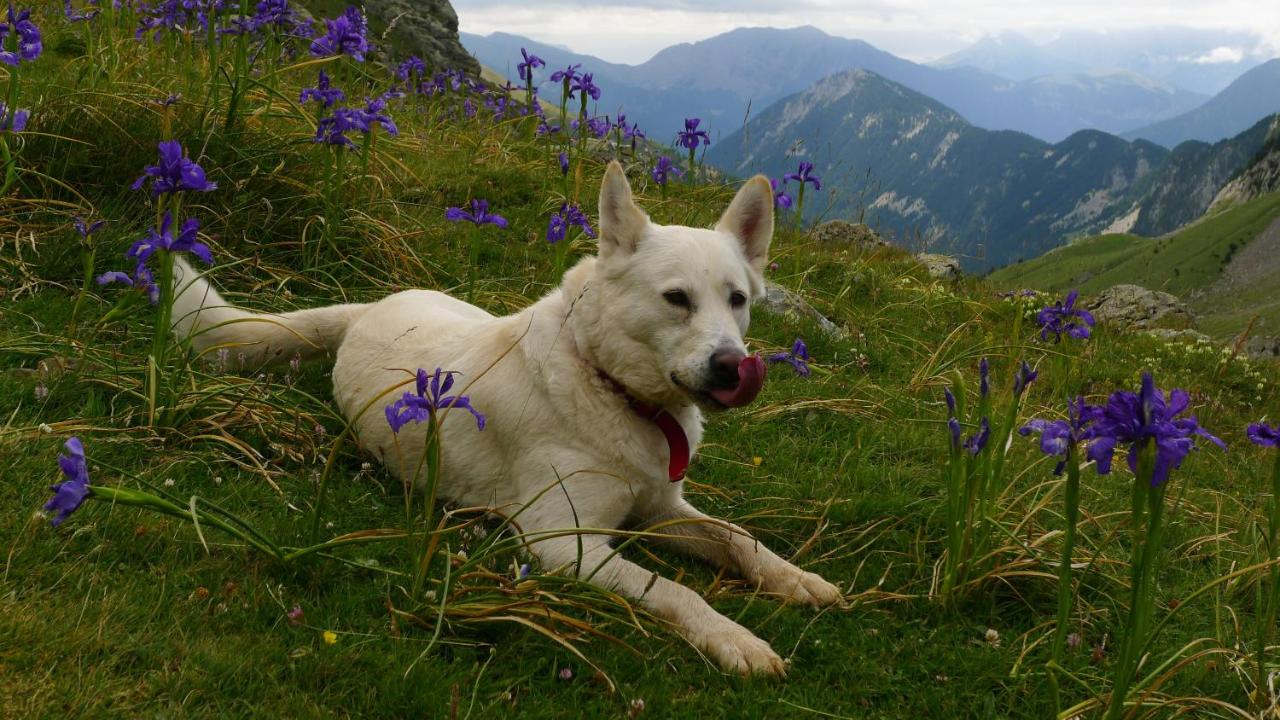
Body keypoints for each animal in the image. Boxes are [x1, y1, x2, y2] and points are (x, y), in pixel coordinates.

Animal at [175, 162, 844, 671]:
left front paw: (795, 579)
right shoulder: (564, 545)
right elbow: (675, 590)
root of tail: (370, 307)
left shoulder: (661, 509)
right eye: (676, 299)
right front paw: (735, 639)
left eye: (737, 300)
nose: (733, 366)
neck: (610, 386)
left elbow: (738, 538)